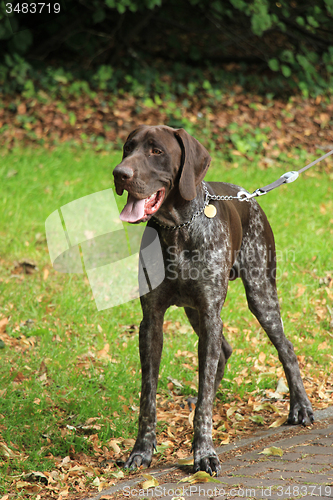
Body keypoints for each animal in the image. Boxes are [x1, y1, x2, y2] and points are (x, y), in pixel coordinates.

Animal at [113, 123, 312, 474]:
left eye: (156, 151)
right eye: (128, 148)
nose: (119, 174)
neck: (178, 228)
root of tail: (248, 196)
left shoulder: (209, 313)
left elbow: (204, 396)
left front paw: (204, 452)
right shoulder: (152, 320)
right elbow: (148, 397)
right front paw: (141, 451)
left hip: (259, 295)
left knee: (285, 348)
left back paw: (300, 406)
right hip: (196, 312)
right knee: (224, 352)